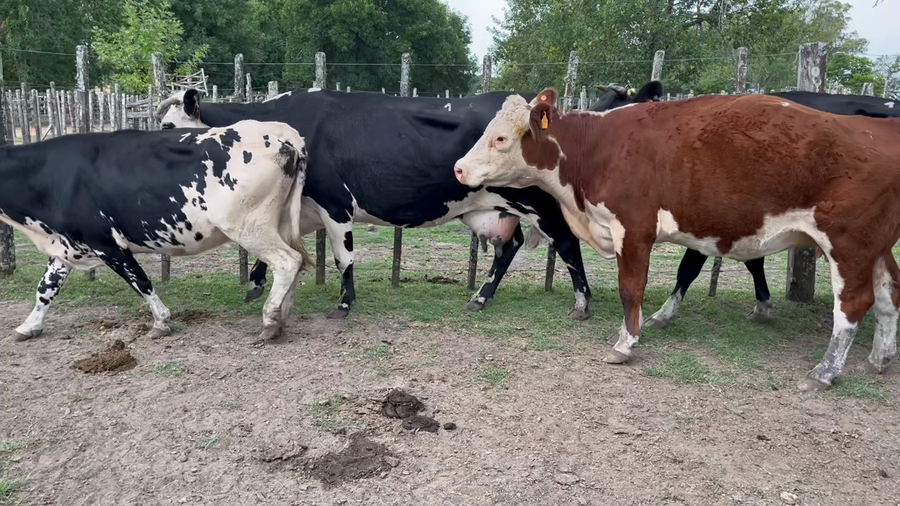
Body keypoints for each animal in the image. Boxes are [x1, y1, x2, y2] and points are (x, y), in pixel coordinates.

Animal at [0, 120, 312, 342]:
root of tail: (283, 135)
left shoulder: (106, 243)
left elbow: (141, 282)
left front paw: (162, 322)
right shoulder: (65, 245)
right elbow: (45, 288)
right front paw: (29, 326)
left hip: (249, 226)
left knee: (287, 261)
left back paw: (270, 321)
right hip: (278, 223)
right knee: (295, 262)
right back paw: (283, 314)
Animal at [156, 88, 594, 321]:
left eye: (168, 126)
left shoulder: (335, 203)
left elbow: (342, 258)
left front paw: (344, 302)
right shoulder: (302, 208)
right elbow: (277, 244)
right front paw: (255, 283)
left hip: (540, 203)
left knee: (567, 245)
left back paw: (582, 303)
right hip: (490, 207)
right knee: (510, 247)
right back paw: (481, 297)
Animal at [453, 88, 900, 391]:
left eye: (500, 138)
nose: (458, 168)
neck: (599, 148)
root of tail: (876, 128)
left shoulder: (634, 228)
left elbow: (631, 288)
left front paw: (626, 343)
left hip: (849, 244)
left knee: (853, 305)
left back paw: (826, 371)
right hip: (876, 247)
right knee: (888, 296)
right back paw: (879, 357)